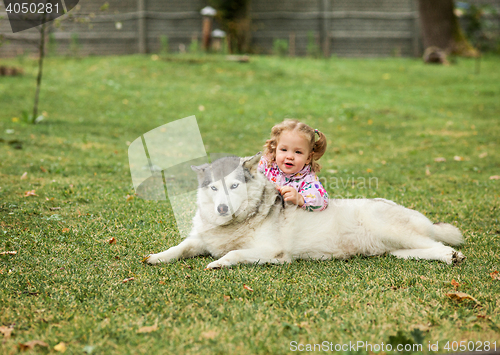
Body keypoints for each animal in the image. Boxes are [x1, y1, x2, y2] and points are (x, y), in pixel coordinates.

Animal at [145, 153, 464, 270]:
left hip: (393, 230)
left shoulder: (273, 253)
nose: (222, 208)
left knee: (437, 244)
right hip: (395, 249)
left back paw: (451, 255)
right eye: (213, 188)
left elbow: (234, 253)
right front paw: (157, 257)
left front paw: (219, 263)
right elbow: (180, 247)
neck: (236, 224)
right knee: (422, 249)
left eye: (234, 185)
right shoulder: (200, 240)